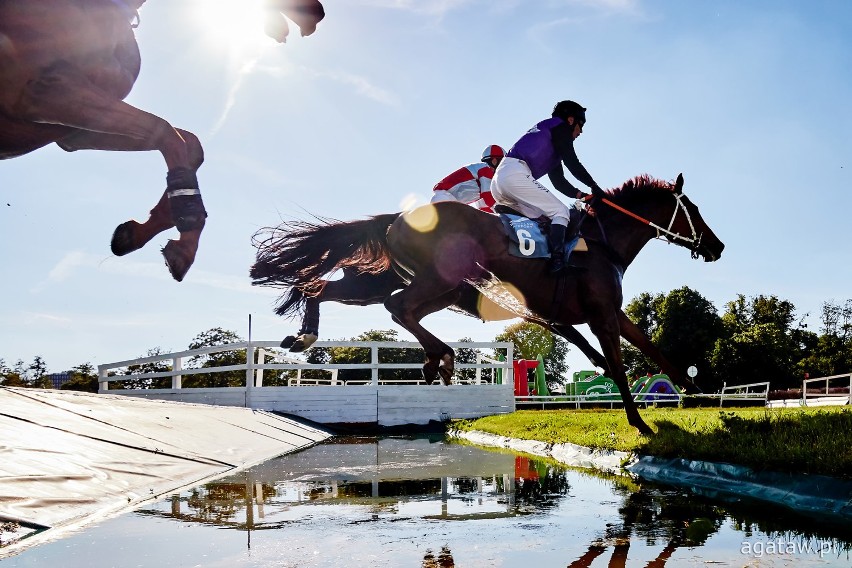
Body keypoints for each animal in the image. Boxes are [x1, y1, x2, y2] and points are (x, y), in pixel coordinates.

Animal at [0, 0, 326, 282]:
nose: (317, 13)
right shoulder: (49, 92)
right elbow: (167, 133)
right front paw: (186, 226)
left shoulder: (72, 131)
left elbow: (187, 142)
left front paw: (147, 231)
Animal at [253, 174, 724, 434]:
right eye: (694, 209)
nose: (717, 246)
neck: (600, 242)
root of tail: (396, 218)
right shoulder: (600, 315)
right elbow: (619, 364)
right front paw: (640, 422)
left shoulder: (604, 314)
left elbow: (648, 344)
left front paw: (690, 386)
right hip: (435, 280)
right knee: (398, 307)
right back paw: (440, 356)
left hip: (407, 285)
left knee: (328, 289)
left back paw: (308, 335)